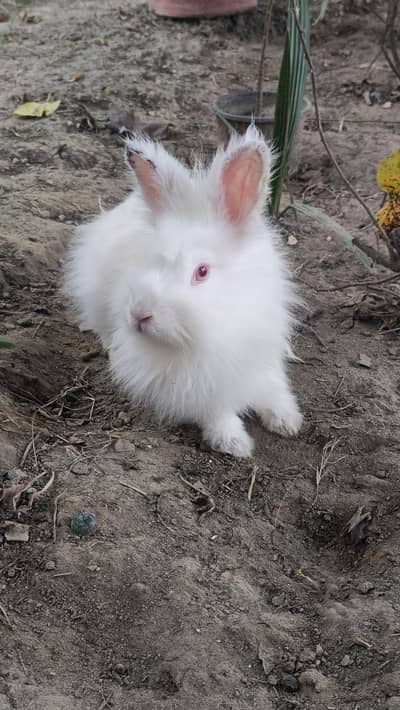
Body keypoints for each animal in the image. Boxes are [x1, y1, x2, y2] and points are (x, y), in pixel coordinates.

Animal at [63, 125, 302, 458]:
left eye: (202, 271)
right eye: (151, 258)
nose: (139, 315)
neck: (222, 326)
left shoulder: (264, 358)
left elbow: (273, 388)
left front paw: (287, 421)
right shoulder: (200, 387)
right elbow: (217, 410)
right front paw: (234, 443)